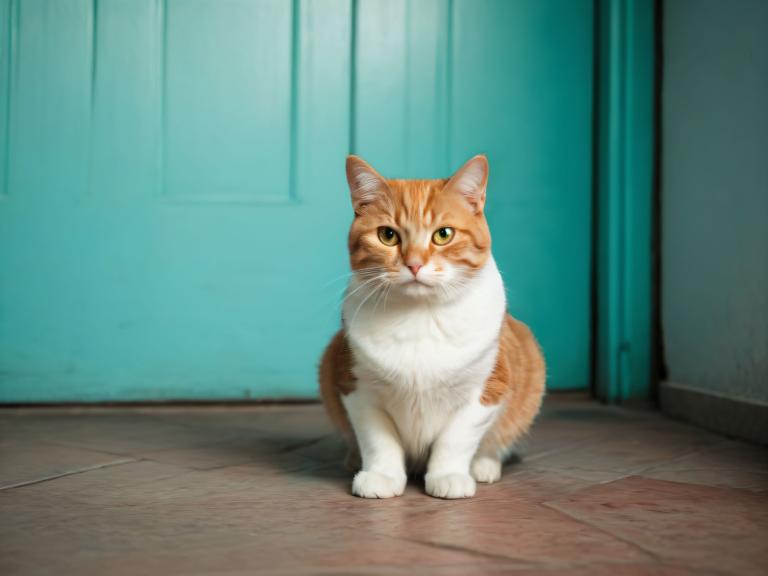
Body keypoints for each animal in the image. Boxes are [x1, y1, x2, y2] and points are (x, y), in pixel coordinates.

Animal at [318, 154, 544, 500]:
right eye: (387, 235)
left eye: (443, 234)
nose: (414, 264)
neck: (420, 316)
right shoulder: (356, 387)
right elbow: (378, 440)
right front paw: (381, 476)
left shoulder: (485, 392)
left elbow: (455, 440)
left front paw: (449, 476)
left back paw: (484, 465)